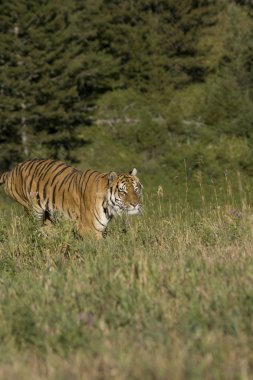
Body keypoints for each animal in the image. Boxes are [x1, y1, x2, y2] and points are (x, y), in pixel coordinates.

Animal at [0, 158, 142, 238]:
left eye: (136, 189)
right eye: (123, 192)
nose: (135, 204)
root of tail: (11, 171)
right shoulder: (88, 229)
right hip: (33, 210)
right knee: (36, 229)